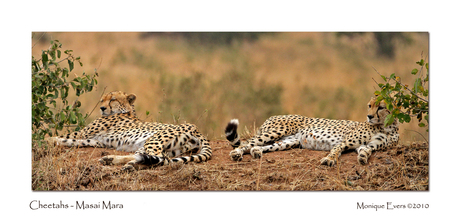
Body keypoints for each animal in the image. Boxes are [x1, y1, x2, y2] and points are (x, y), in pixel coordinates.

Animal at [46, 90, 212, 170]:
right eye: (102, 100)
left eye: (112, 99)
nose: (102, 108)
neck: (128, 110)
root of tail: (196, 128)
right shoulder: (95, 140)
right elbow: (69, 140)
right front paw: (53, 140)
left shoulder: (83, 133)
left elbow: (67, 135)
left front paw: (46, 139)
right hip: (167, 148)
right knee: (155, 158)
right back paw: (118, 161)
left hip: (154, 140)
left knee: (160, 159)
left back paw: (119, 162)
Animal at [226, 96, 398, 166]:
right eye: (369, 105)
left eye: (380, 107)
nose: (369, 116)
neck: (386, 126)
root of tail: (273, 116)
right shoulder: (345, 141)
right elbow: (336, 150)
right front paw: (329, 160)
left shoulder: (367, 145)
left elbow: (366, 150)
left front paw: (362, 158)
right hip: (276, 131)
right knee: (246, 143)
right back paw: (236, 154)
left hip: (290, 142)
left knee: (260, 146)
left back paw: (256, 151)